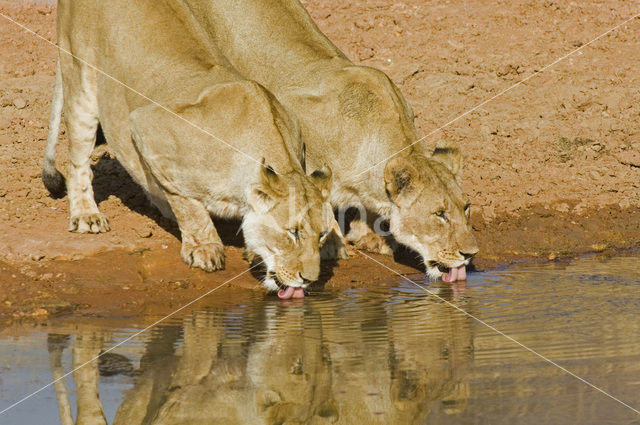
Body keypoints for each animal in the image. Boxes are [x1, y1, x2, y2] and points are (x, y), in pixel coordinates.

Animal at [42, 0, 340, 292]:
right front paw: (204, 248)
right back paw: (87, 215)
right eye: (293, 232)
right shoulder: (146, 125)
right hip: (80, 79)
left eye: (322, 234)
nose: (309, 279)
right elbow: (186, 203)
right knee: (78, 162)